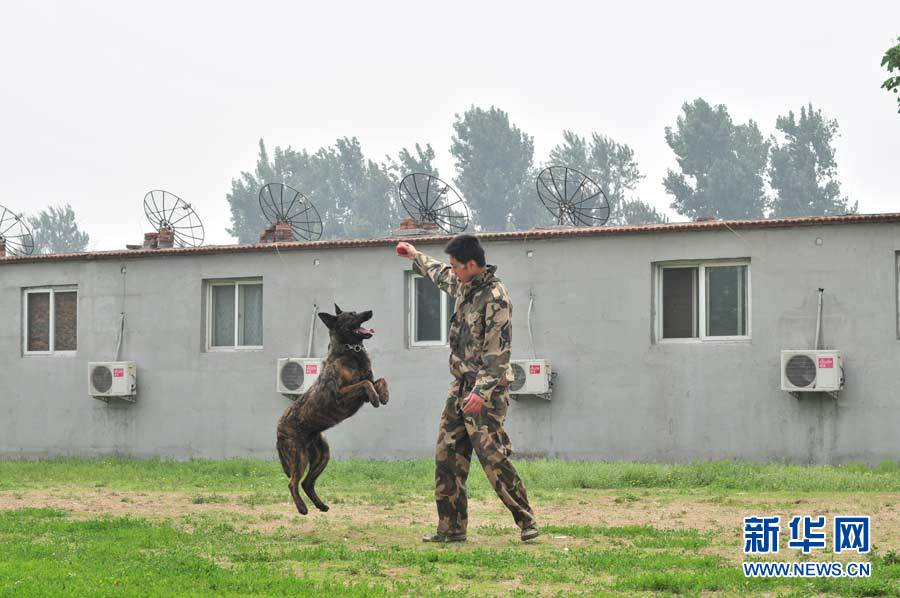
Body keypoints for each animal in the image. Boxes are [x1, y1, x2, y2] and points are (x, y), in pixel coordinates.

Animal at [274, 304, 386, 516]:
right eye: (351, 315)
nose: (370, 312)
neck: (350, 352)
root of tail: (278, 428)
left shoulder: (364, 389)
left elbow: (380, 380)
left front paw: (383, 395)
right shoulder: (342, 394)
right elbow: (366, 383)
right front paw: (377, 397)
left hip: (322, 456)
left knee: (307, 483)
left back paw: (320, 505)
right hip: (299, 456)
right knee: (293, 482)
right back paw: (302, 508)